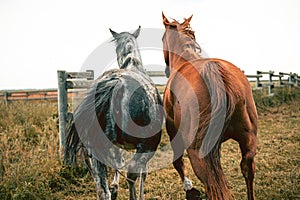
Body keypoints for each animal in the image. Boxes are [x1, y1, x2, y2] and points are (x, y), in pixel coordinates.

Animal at [162, 12, 258, 200]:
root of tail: (216, 72)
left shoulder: (172, 129)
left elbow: (178, 161)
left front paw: (190, 189)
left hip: (197, 153)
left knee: (210, 182)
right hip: (248, 141)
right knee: (247, 169)